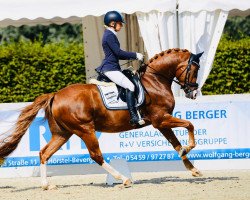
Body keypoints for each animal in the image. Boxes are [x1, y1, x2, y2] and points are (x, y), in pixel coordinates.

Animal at [0, 48, 203, 189]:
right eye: (194, 69)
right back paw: (123, 179)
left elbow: (175, 143)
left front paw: (192, 167)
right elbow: (190, 125)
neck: (154, 82)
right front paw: (189, 148)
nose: (193, 92)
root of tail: (55, 95)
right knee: (96, 155)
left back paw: (46, 185)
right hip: (85, 130)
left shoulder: (161, 123)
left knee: (44, 153)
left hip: (62, 133)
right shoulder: (160, 119)